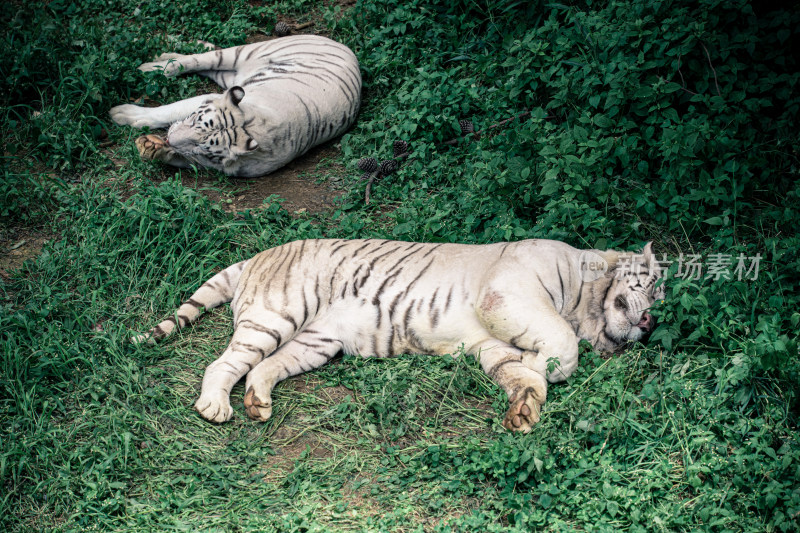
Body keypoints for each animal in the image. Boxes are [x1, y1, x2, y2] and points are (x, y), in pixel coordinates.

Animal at [109, 34, 362, 177]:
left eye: (202, 148)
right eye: (195, 120)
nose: (169, 140)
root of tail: (341, 45)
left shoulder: (209, 165)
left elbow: (179, 157)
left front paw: (155, 148)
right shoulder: (206, 97)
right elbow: (168, 110)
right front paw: (123, 113)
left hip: (228, 75)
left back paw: (163, 54)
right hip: (242, 53)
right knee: (197, 58)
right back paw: (152, 65)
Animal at [134, 239, 664, 430]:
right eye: (655, 285)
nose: (650, 323)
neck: (584, 303)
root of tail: (259, 254)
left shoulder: (491, 344)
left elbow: (520, 376)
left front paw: (524, 408)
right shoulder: (507, 293)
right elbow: (560, 343)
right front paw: (544, 364)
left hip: (315, 341)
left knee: (262, 368)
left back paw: (257, 404)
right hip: (275, 316)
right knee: (223, 363)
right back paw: (215, 407)